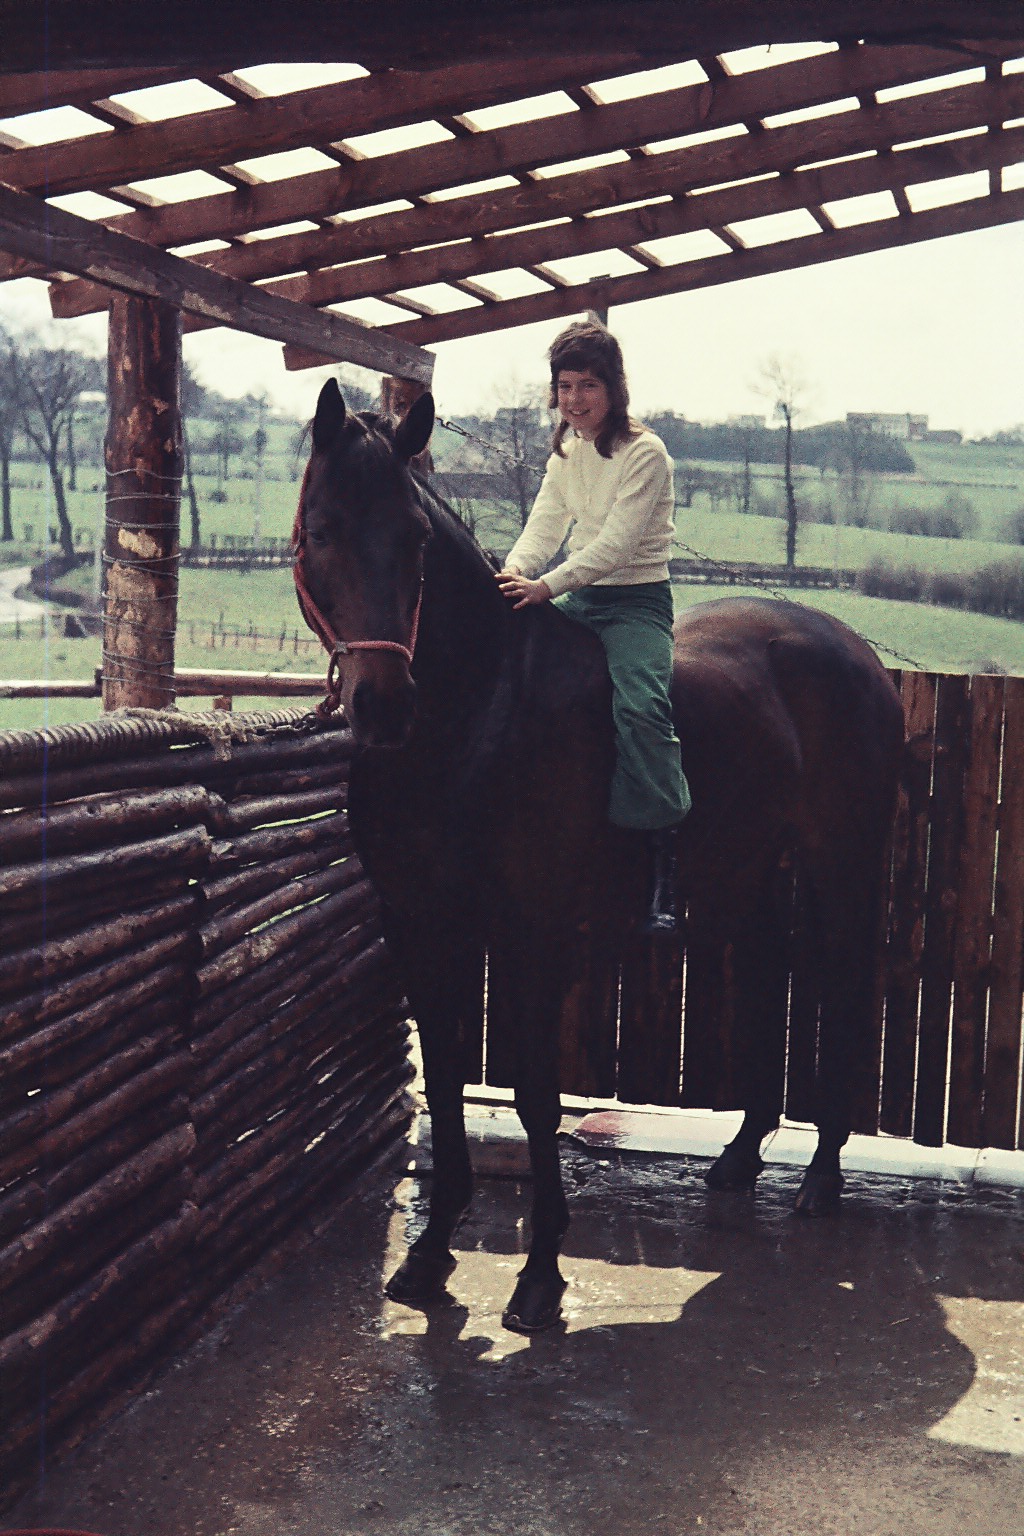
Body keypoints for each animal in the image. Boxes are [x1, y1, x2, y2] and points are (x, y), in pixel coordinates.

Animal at [296, 380, 902, 1333]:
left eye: (416, 538)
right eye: (321, 529)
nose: (384, 706)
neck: (472, 719)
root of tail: (850, 650)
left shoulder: (533, 933)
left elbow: (537, 1097)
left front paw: (540, 1275)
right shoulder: (420, 926)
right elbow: (444, 1072)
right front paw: (429, 1257)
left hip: (841, 865)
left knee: (842, 991)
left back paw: (822, 1176)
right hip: (746, 873)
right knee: (768, 974)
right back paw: (742, 1155)